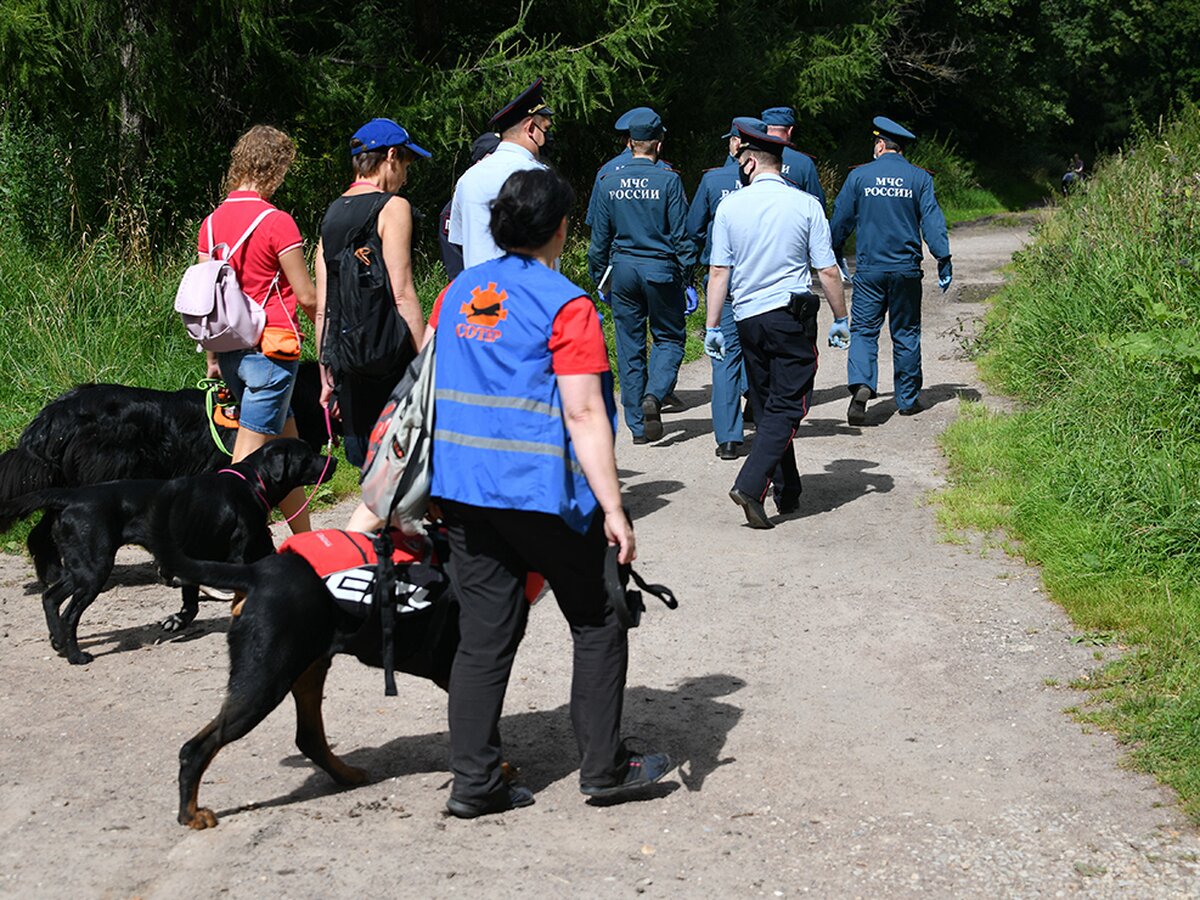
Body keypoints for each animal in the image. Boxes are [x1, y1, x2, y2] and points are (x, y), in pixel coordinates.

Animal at [0, 441, 333, 667]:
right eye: (308, 456)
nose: (333, 461)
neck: (252, 482)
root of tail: (70, 496)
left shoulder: (193, 557)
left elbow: (190, 601)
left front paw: (178, 622)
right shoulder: (242, 554)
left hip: (81, 566)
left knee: (50, 597)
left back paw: (57, 641)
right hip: (94, 569)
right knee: (69, 613)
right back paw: (76, 655)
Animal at [157, 532, 456, 835]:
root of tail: (255, 572)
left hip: (307, 671)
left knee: (309, 737)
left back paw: (346, 775)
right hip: (263, 682)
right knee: (195, 748)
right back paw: (190, 814)